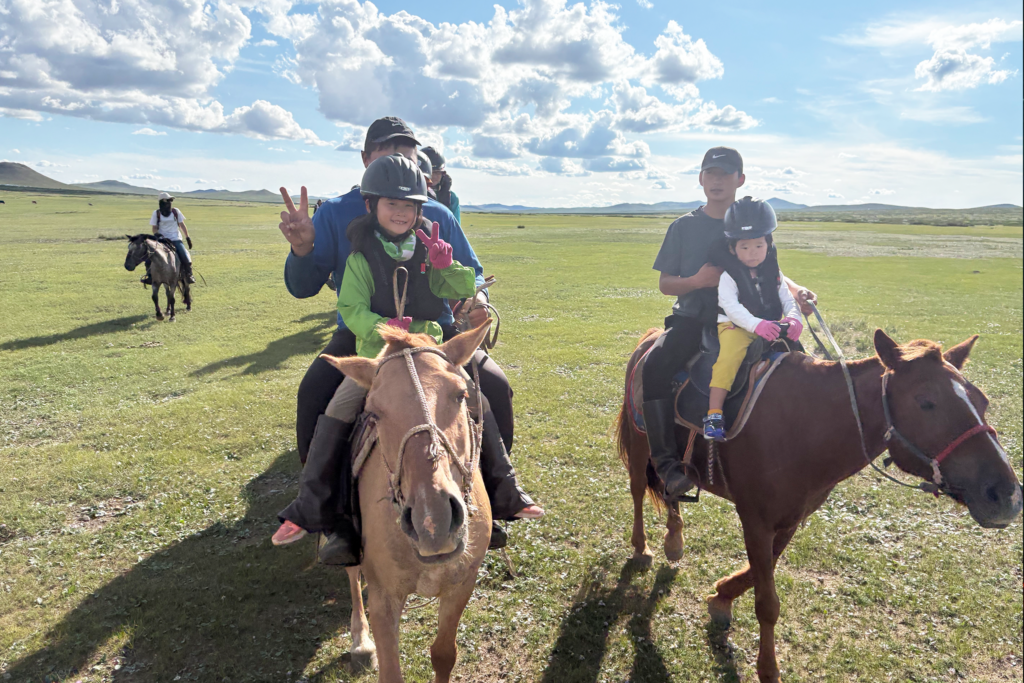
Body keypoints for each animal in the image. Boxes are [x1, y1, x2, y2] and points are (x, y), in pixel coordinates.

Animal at [320, 320, 494, 683]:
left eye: (461, 394)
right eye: (373, 412)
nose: (434, 523)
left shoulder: (461, 585)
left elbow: (443, 654)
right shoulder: (383, 598)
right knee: (351, 574)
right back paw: (361, 642)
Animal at [616, 328, 1021, 682]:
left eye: (982, 401)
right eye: (926, 402)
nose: (1006, 495)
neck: (806, 425)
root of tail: (652, 338)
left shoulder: (790, 519)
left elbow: (756, 575)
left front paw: (722, 595)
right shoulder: (756, 520)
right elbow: (767, 603)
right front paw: (768, 670)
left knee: (670, 489)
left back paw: (674, 540)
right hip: (640, 446)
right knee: (637, 490)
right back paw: (642, 547)